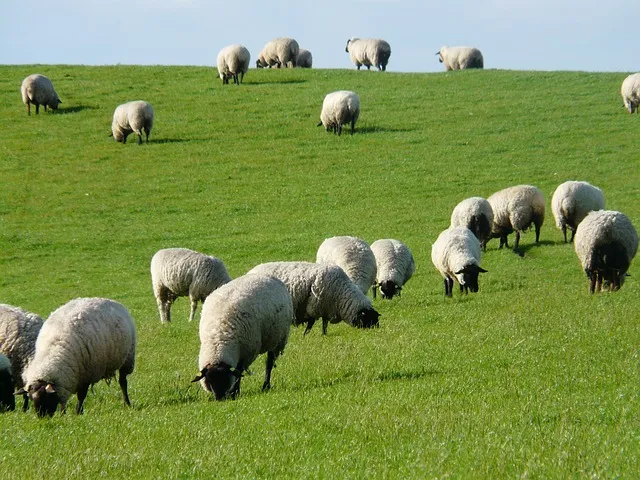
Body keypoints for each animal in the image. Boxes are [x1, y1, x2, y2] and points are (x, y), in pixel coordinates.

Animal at [247, 261, 380, 335]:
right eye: (369, 318)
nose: (377, 331)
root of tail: (250, 272)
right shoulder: (313, 306)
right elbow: (311, 323)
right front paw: (305, 335)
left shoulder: (325, 308)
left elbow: (324, 324)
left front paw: (324, 334)